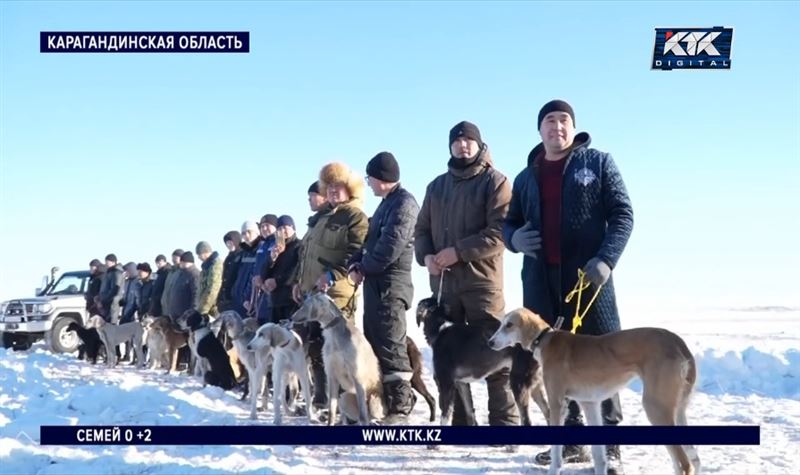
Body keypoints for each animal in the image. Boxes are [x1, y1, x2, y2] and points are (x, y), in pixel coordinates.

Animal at [412, 298, 552, 428]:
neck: (441, 330)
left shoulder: (446, 383)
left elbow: (445, 416)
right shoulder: (461, 384)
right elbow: (470, 412)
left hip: (518, 382)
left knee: (527, 420)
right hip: (534, 385)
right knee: (548, 412)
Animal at [488, 308, 700, 475]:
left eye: (509, 325)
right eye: (501, 324)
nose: (490, 342)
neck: (544, 339)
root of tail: (677, 342)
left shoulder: (557, 404)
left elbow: (556, 454)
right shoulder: (590, 404)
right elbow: (599, 457)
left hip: (656, 408)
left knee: (684, 464)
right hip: (677, 410)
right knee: (694, 460)